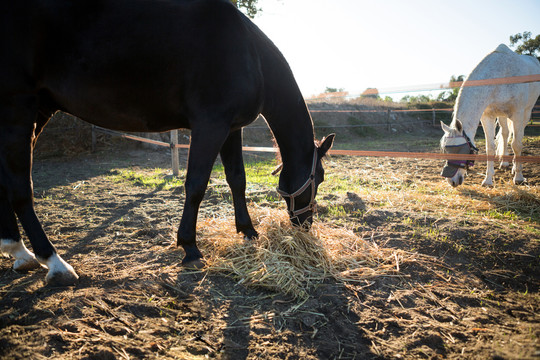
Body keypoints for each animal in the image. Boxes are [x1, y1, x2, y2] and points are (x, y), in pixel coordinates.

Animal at [1, 0, 334, 286]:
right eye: (318, 177)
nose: (305, 223)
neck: (248, 52)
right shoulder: (210, 126)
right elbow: (196, 185)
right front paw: (190, 247)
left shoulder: (230, 129)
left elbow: (237, 179)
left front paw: (248, 231)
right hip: (18, 107)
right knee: (20, 188)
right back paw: (54, 263)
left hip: (38, 109)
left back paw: (19, 252)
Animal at [438, 43, 540, 187]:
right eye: (446, 150)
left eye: (460, 150)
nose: (452, 181)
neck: (501, 75)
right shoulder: (487, 116)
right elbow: (490, 147)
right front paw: (488, 180)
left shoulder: (518, 114)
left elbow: (516, 144)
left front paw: (519, 177)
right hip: (502, 115)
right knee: (505, 133)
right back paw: (504, 162)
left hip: (526, 113)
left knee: (516, 138)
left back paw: (515, 169)